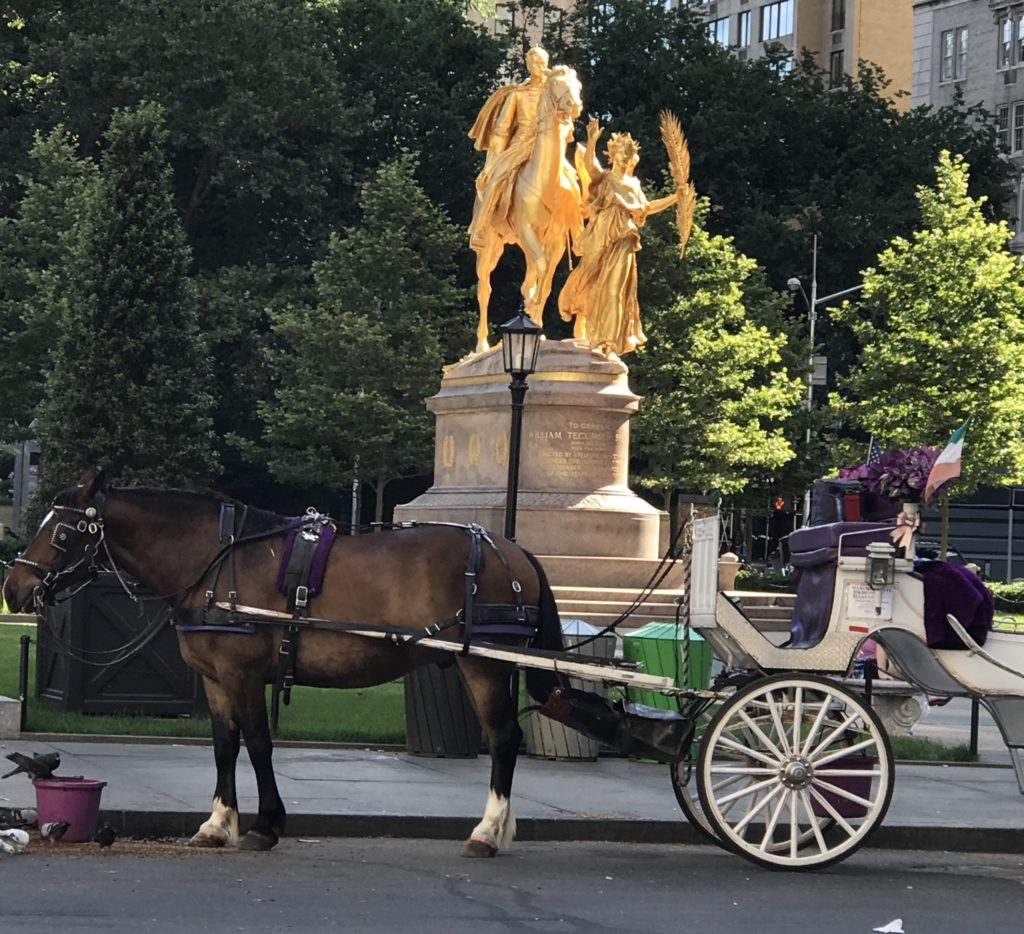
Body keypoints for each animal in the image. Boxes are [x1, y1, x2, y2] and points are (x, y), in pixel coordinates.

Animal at [2, 471, 561, 856]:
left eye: (61, 533)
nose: (14, 589)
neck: (215, 560)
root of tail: (513, 549)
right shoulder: (215, 680)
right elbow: (225, 747)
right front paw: (217, 823)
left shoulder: (243, 675)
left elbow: (258, 744)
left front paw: (266, 824)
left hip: (485, 667)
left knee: (503, 738)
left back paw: (488, 830)